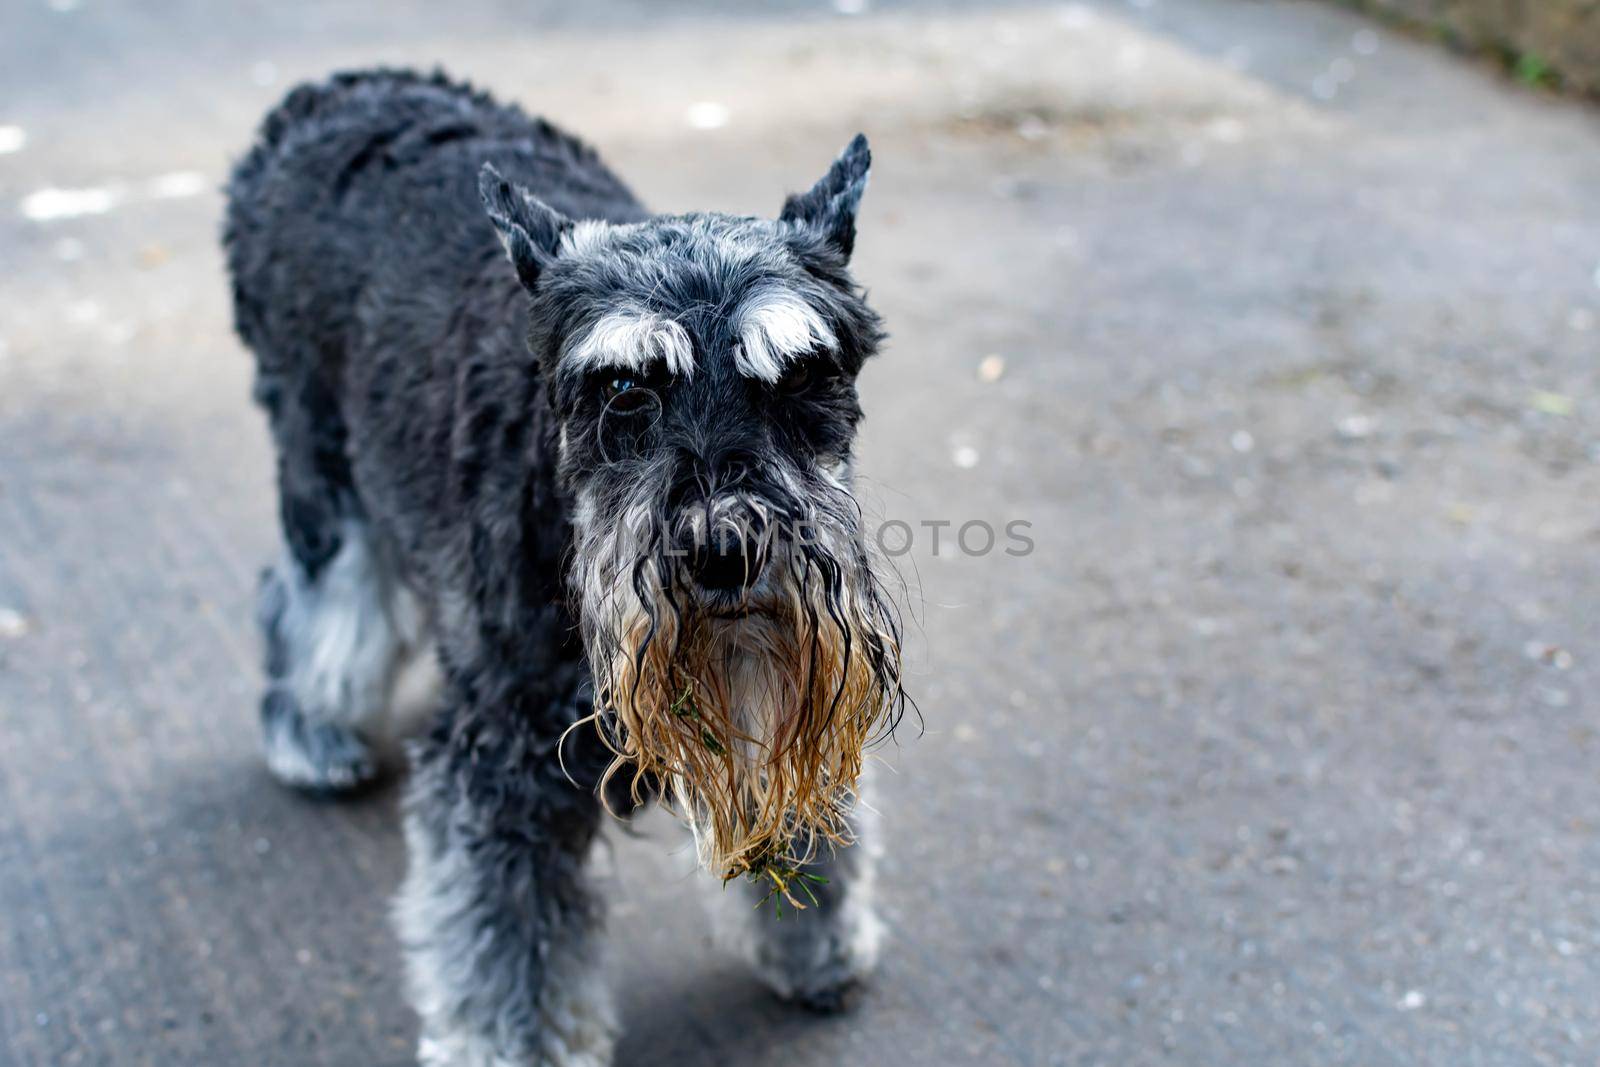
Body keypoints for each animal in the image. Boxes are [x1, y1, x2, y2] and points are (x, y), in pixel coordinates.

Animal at [222, 70, 915, 1062]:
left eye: (799, 378)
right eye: (623, 390)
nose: (725, 547)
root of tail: (319, 102)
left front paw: (817, 940)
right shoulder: (502, 765)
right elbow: (508, 938)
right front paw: (508, 1045)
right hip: (324, 466)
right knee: (314, 599)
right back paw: (309, 731)